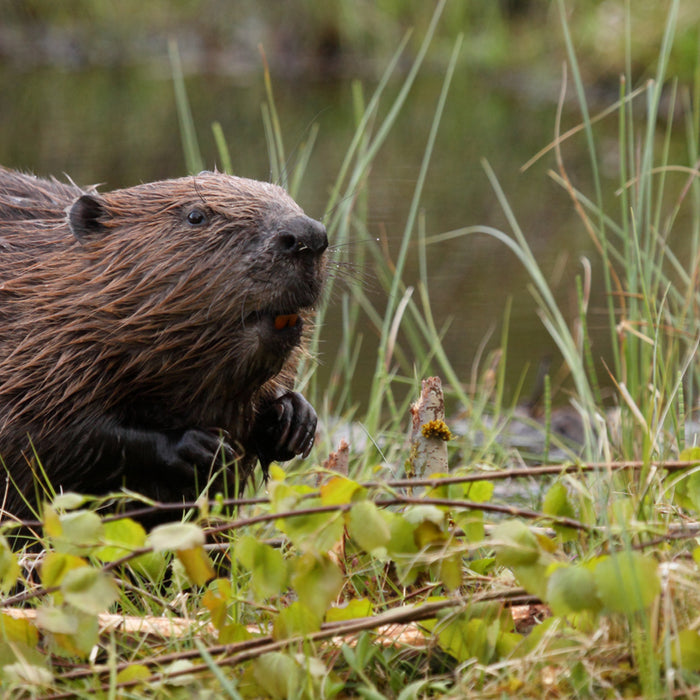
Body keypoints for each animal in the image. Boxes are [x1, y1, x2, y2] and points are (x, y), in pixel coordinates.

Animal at [0, 165, 328, 520]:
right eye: (196, 216)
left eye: (286, 197)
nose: (309, 235)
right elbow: (52, 435)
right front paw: (201, 448)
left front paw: (294, 419)